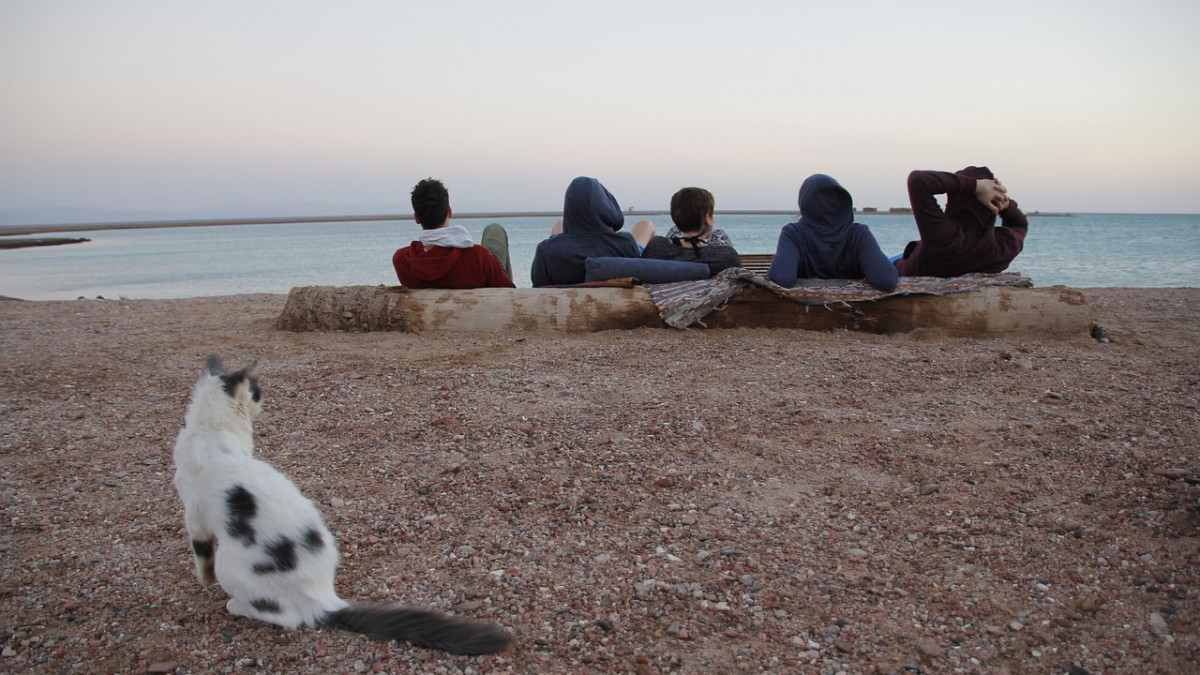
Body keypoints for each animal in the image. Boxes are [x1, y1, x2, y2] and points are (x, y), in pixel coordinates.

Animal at [172, 355, 511, 653]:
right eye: (256, 391)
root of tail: (323, 598)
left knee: (285, 617)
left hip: (232, 565)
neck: (210, 429)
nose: (261, 400)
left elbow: (201, 555)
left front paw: (204, 580)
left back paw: (236, 604)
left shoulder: (195, 515)